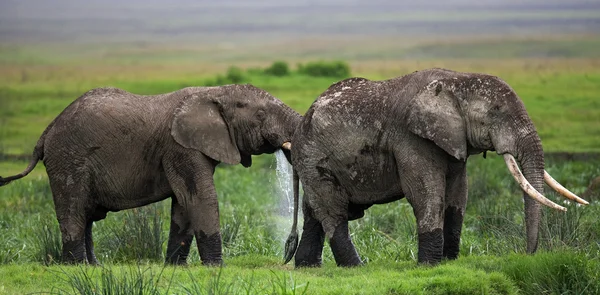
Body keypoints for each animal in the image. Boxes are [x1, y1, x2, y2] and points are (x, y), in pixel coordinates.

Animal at [0, 84, 300, 266]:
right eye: (260, 114)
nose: (287, 252)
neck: (212, 93)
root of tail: (47, 131)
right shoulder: (179, 147)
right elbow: (200, 198)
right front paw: (216, 267)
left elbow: (184, 203)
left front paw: (176, 267)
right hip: (68, 158)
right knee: (74, 211)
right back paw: (77, 266)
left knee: (85, 215)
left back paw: (94, 266)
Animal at [284, 68, 588, 268]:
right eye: (496, 112)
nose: (528, 255)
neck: (457, 80)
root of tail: (300, 126)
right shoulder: (410, 138)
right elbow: (425, 192)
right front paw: (429, 265)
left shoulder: (453, 140)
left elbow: (458, 193)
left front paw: (449, 262)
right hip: (314, 156)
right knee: (333, 212)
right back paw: (357, 268)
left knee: (315, 212)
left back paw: (308, 267)